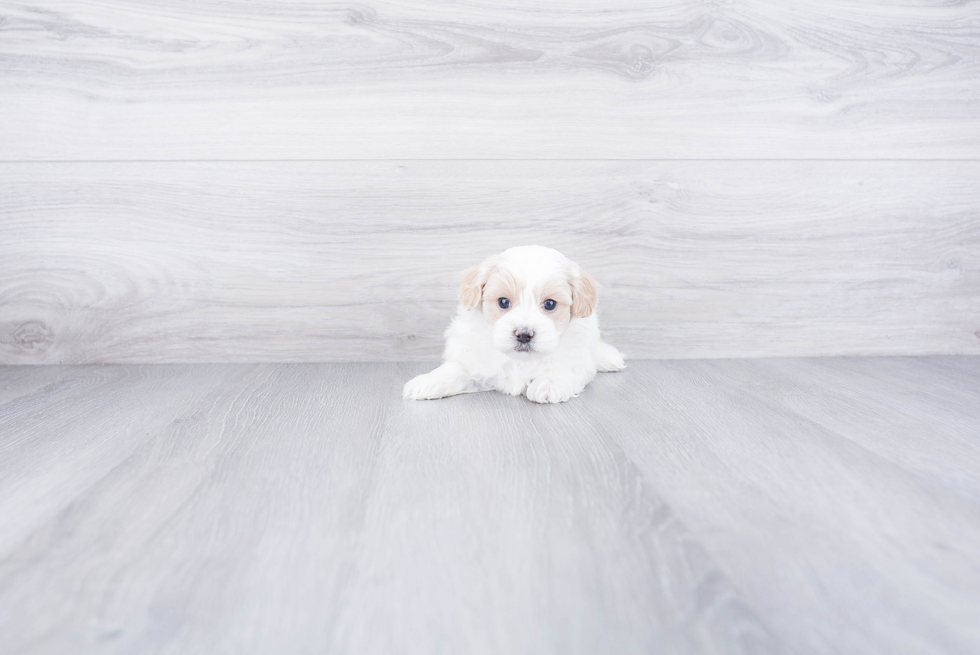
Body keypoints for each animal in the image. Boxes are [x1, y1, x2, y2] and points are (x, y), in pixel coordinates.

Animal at [402, 246, 624, 404]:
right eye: (503, 302)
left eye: (550, 304)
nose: (524, 334)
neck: (519, 360)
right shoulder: (474, 360)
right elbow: (453, 369)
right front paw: (426, 382)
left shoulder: (577, 356)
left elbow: (565, 366)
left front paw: (548, 383)